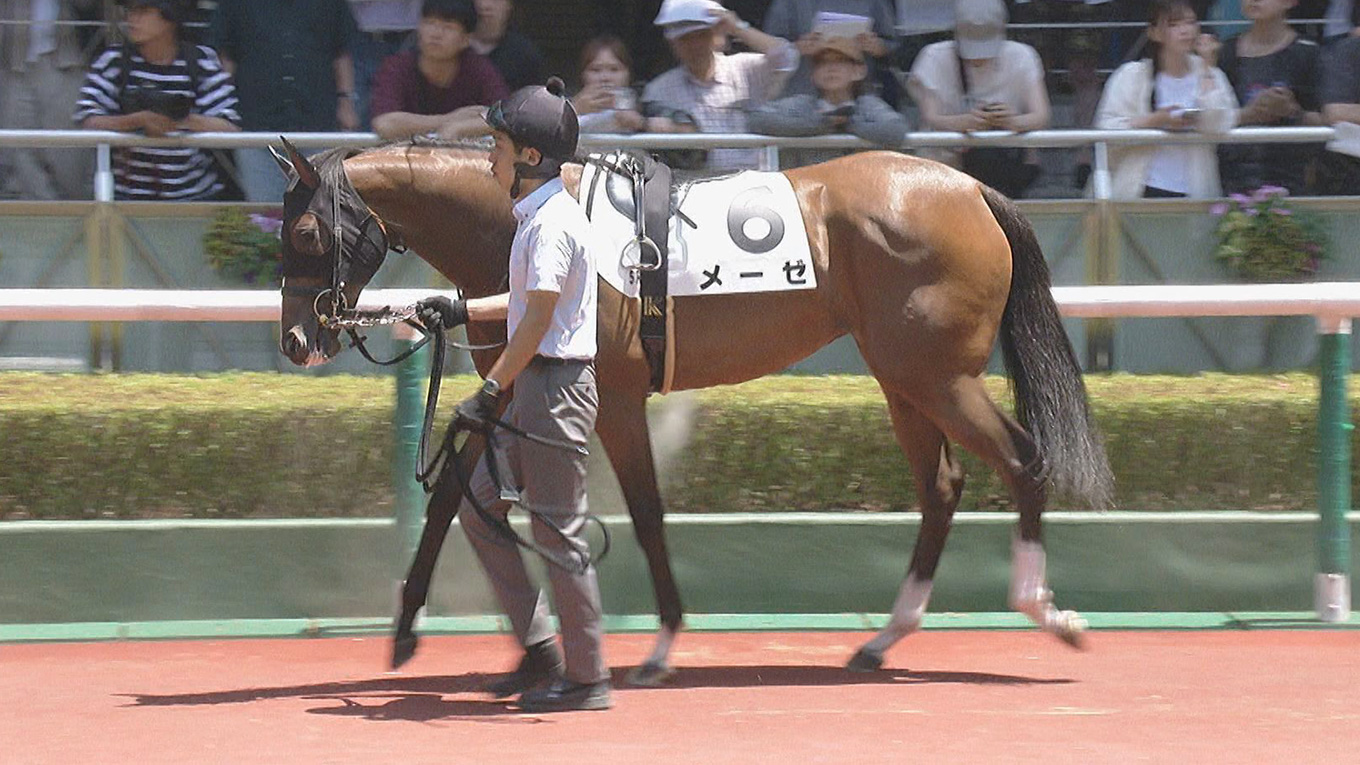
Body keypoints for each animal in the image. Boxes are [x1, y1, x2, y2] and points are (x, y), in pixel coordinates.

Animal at [273, 139, 1114, 684]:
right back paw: (883, 638)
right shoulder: (510, 387)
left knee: (1023, 458)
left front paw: (659, 645)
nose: (296, 341)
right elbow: (452, 493)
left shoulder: (611, 397)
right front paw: (409, 630)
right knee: (942, 486)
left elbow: (646, 513)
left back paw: (1045, 609)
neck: (524, 219)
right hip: (904, 378)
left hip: (937, 376)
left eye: (307, 231)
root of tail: (972, 191)